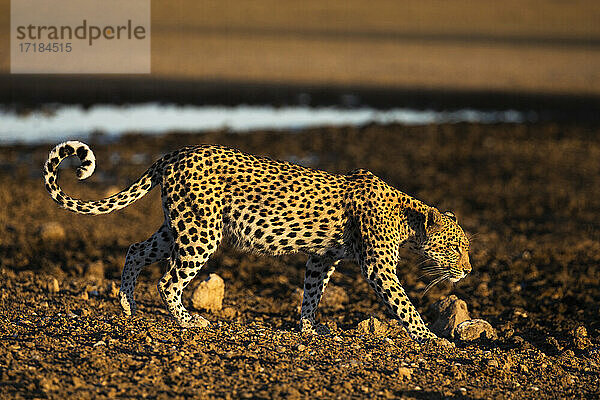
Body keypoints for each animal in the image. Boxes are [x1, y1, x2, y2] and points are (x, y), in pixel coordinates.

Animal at [44, 140, 472, 340]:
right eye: (454, 248)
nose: (467, 271)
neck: (407, 217)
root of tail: (176, 152)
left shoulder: (323, 257)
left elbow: (312, 291)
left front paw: (309, 328)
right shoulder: (379, 267)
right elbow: (405, 306)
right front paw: (432, 339)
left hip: (177, 228)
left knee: (135, 250)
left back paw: (127, 305)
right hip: (201, 234)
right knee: (168, 280)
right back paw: (189, 321)